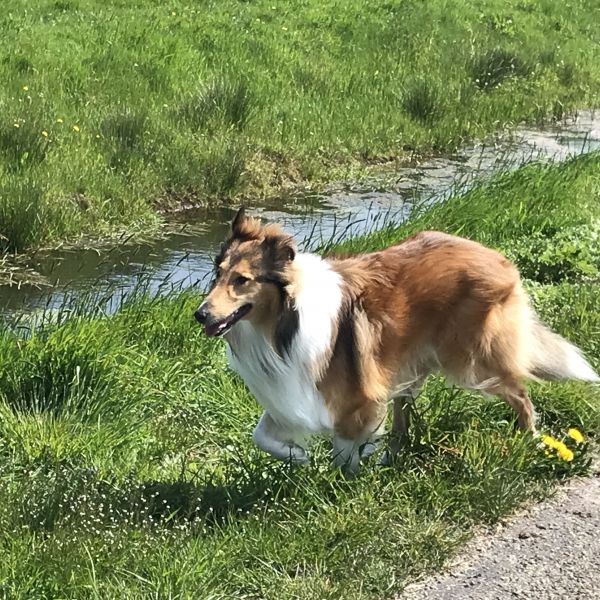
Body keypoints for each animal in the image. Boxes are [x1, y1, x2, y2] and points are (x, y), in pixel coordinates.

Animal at [195, 209, 596, 472]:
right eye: (216, 275)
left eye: (242, 280)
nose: (200, 314)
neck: (281, 325)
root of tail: (500, 259)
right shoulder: (291, 392)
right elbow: (260, 436)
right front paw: (301, 457)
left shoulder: (355, 399)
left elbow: (344, 452)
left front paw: (342, 484)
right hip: (408, 361)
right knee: (404, 413)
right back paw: (392, 454)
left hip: (470, 362)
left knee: (520, 393)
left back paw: (530, 441)